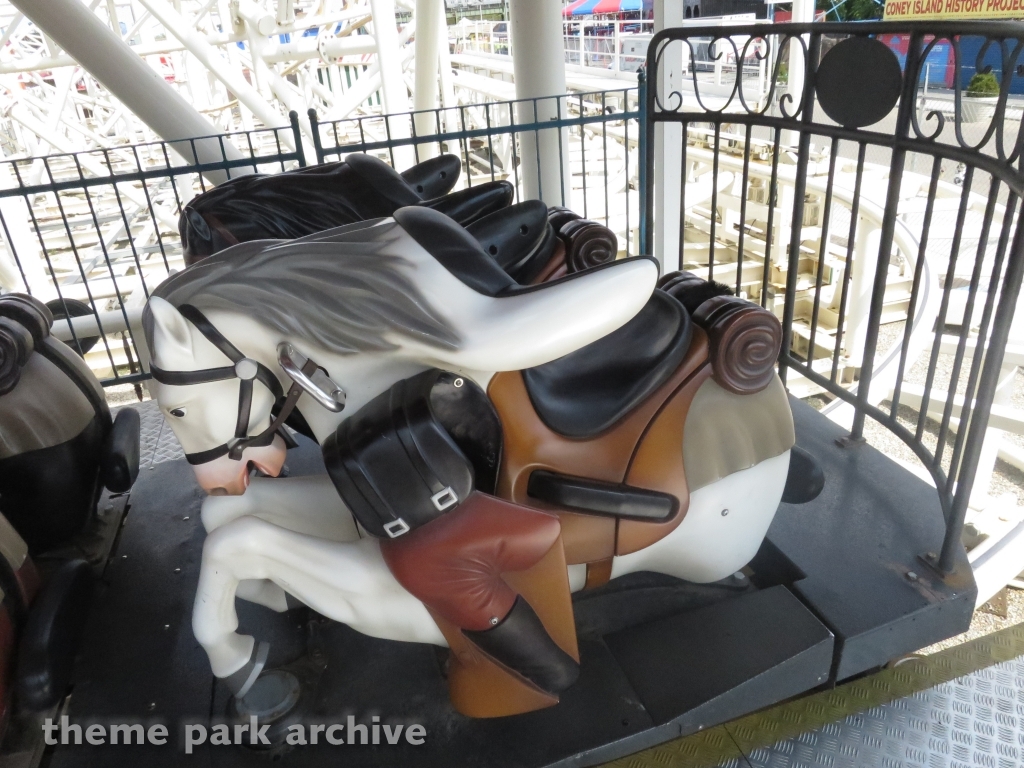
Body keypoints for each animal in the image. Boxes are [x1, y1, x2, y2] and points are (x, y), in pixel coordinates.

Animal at [144, 205, 819, 720]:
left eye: (175, 409)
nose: (227, 476)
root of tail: (736, 339)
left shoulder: (396, 589)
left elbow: (246, 540)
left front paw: (240, 662)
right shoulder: (353, 508)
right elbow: (229, 525)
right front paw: (265, 604)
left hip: (711, 541)